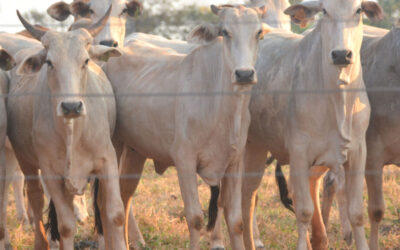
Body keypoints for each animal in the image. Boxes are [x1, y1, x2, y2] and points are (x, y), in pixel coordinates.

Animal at [4, 8, 125, 250]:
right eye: (49, 63)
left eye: (85, 60)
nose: (71, 106)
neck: (73, 132)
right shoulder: (50, 172)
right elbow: (66, 225)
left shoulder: (107, 160)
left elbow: (115, 214)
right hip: (25, 159)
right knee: (35, 197)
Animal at [104, 4, 270, 250]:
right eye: (226, 32)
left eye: (258, 33)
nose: (244, 74)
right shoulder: (185, 161)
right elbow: (195, 218)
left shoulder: (234, 162)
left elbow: (236, 221)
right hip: (113, 147)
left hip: (135, 151)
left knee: (125, 197)